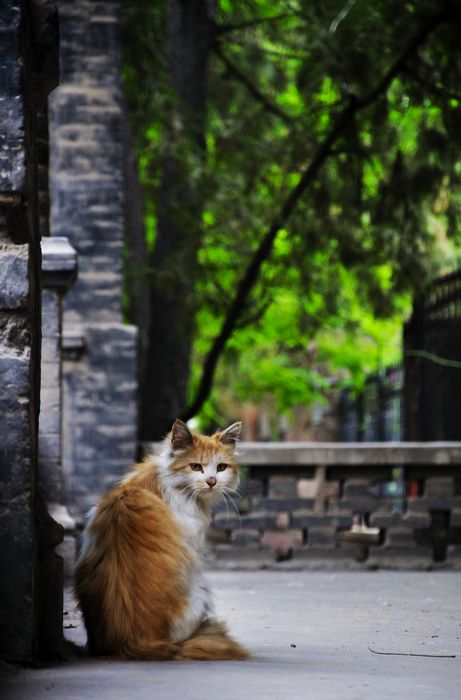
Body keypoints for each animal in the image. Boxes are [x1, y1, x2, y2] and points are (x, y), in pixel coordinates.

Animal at [75, 419, 249, 661]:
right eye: (196, 467)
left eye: (221, 467)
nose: (212, 481)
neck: (168, 481)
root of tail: (136, 642)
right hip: (201, 590)